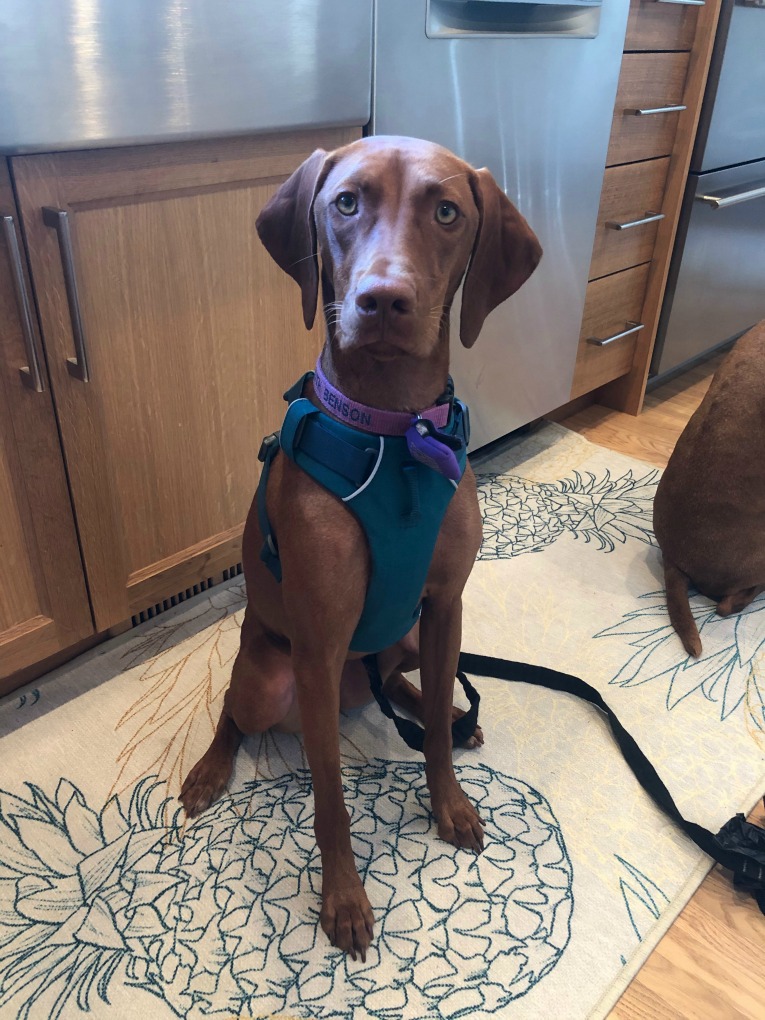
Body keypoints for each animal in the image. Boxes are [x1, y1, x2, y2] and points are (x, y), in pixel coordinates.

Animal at [180, 135, 542, 960]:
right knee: (233, 711)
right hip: (271, 678)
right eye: (345, 202)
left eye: (447, 211)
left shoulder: (444, 606)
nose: (383, 299)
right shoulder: (317, 646)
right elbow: (330, 799)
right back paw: (211, 770)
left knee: (417, 689)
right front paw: (343, 898)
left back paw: (442, 711)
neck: (396, 433)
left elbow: (433, 731)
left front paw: (449, 804)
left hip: (403, 635)